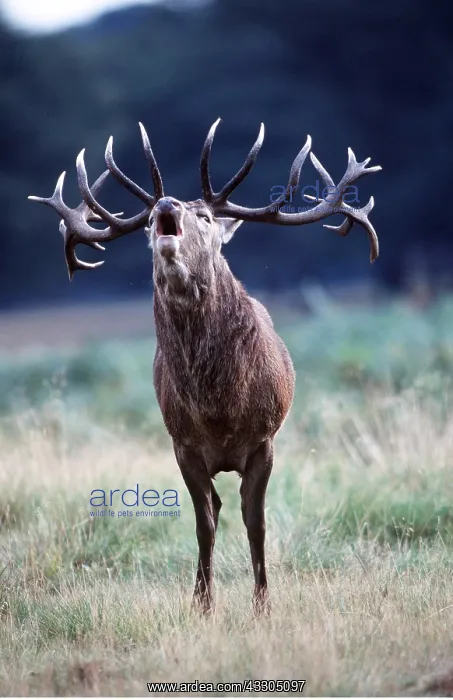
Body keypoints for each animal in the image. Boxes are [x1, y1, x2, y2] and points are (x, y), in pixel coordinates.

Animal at [29, 119, 381, 614]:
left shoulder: (264, 439)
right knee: (214, 506)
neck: (220, 407)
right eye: (148, 223)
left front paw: (262, 605)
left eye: (207, 217)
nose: (165, 204)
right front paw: (202, 604)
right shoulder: (183, 445)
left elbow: (256, 522)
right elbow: (204, 523)